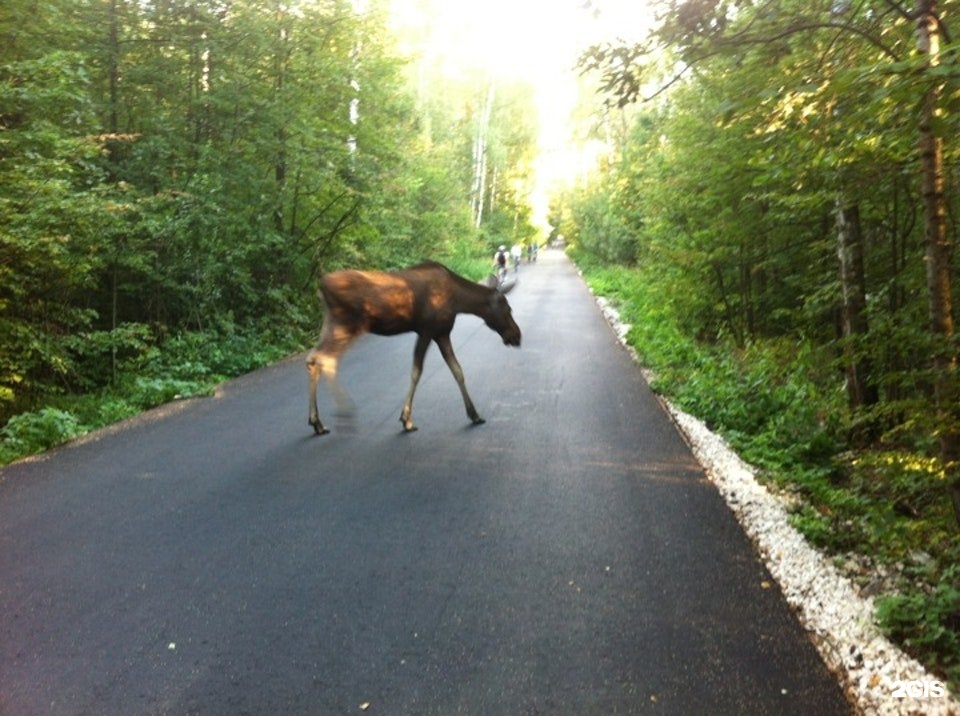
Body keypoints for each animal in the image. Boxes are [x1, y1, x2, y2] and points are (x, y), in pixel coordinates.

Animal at [308, 260, 520, 434]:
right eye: (507, 308)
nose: (517, 336)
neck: (458, 301)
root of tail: (322, 286)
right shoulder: (426, 331)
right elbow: (417, 372)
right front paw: (406, 419)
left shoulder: (441, 333)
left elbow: (457, 370)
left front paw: (474, 414)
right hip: (348, 324)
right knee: (326, 359)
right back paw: (345, 413)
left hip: (330, 322)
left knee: (312, 358)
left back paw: (317, 423)